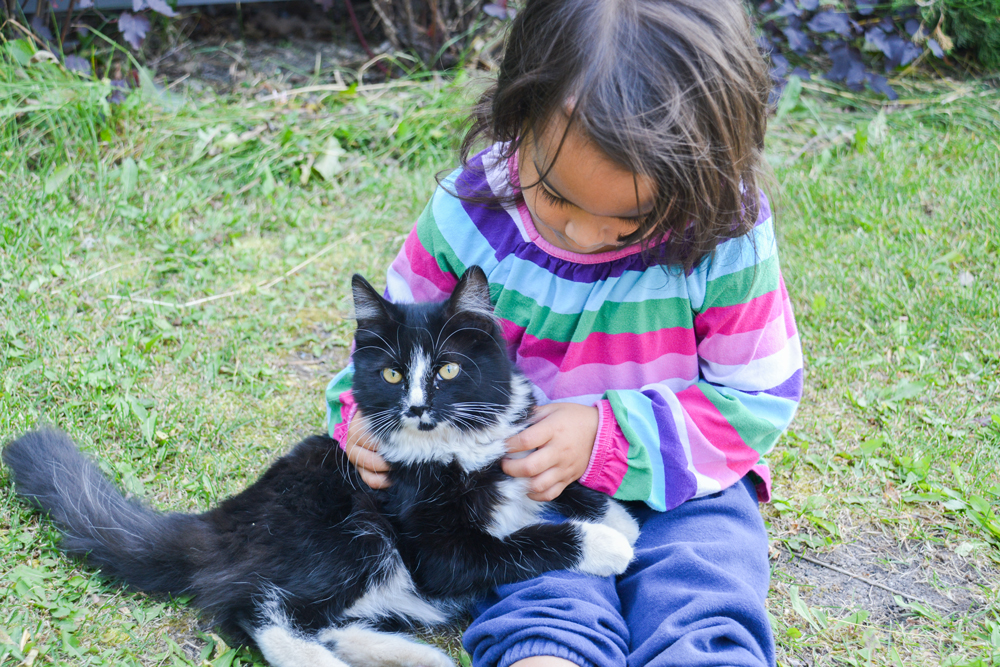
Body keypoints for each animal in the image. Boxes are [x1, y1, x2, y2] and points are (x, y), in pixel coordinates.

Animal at [3, 266, 636, 667]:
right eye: (391, 374)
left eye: (449, 370)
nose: (416, 407)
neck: (457, 447)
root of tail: (223, 522)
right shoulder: (434, 548)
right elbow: (519, 542)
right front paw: (605, 543)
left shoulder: (510, 446)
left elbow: (547, 481)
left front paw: (614, 514)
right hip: (351, 532)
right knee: (255, 610)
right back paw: (327, 661)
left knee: (319, 617)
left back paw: (409, 657)